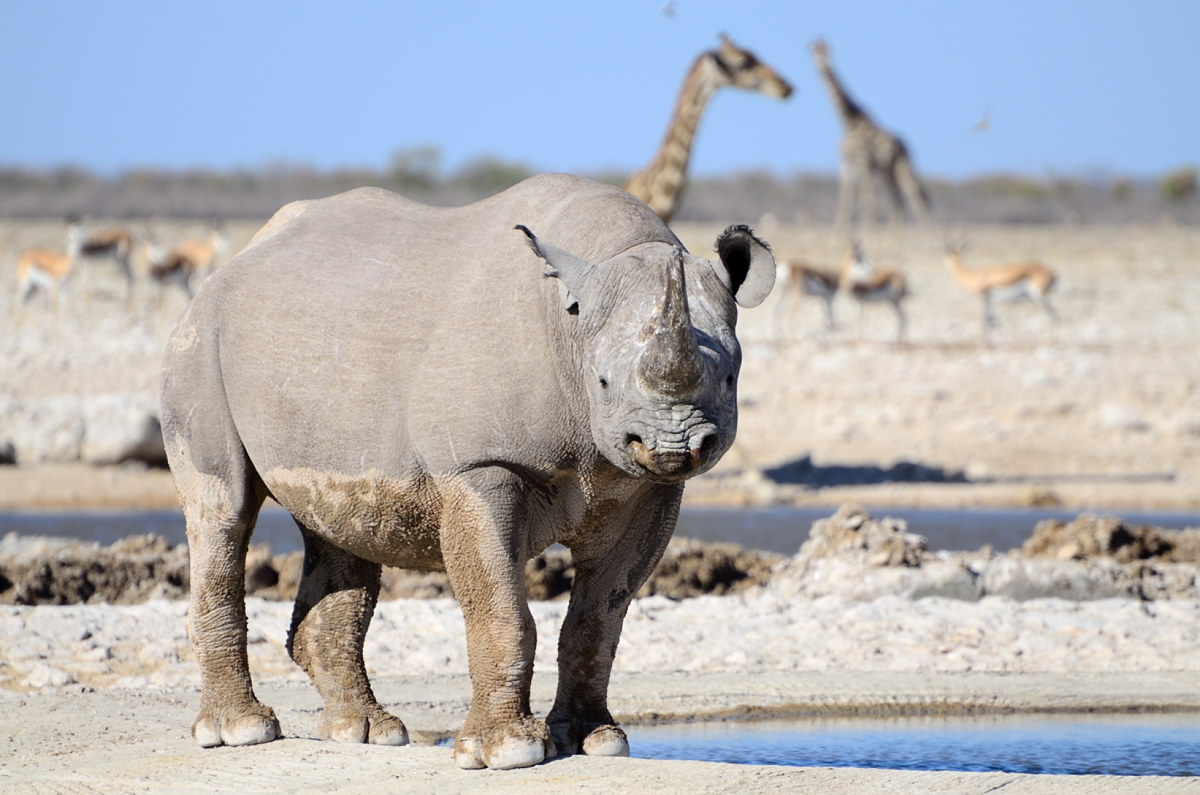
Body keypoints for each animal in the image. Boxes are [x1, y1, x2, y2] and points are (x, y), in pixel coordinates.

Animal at [159, 173, 775, 770]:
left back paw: (365, 733)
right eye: (602, 382)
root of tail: (240, 257)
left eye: (729, 379)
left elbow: (600, 618)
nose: (674, 446)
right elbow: (503, 610)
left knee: (339, 526)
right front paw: (507, 752)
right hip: (198, 339)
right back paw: (241, 732)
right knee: (223, 512)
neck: (572, 326)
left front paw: (593, 739)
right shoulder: (479, 463)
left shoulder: (648, 489)